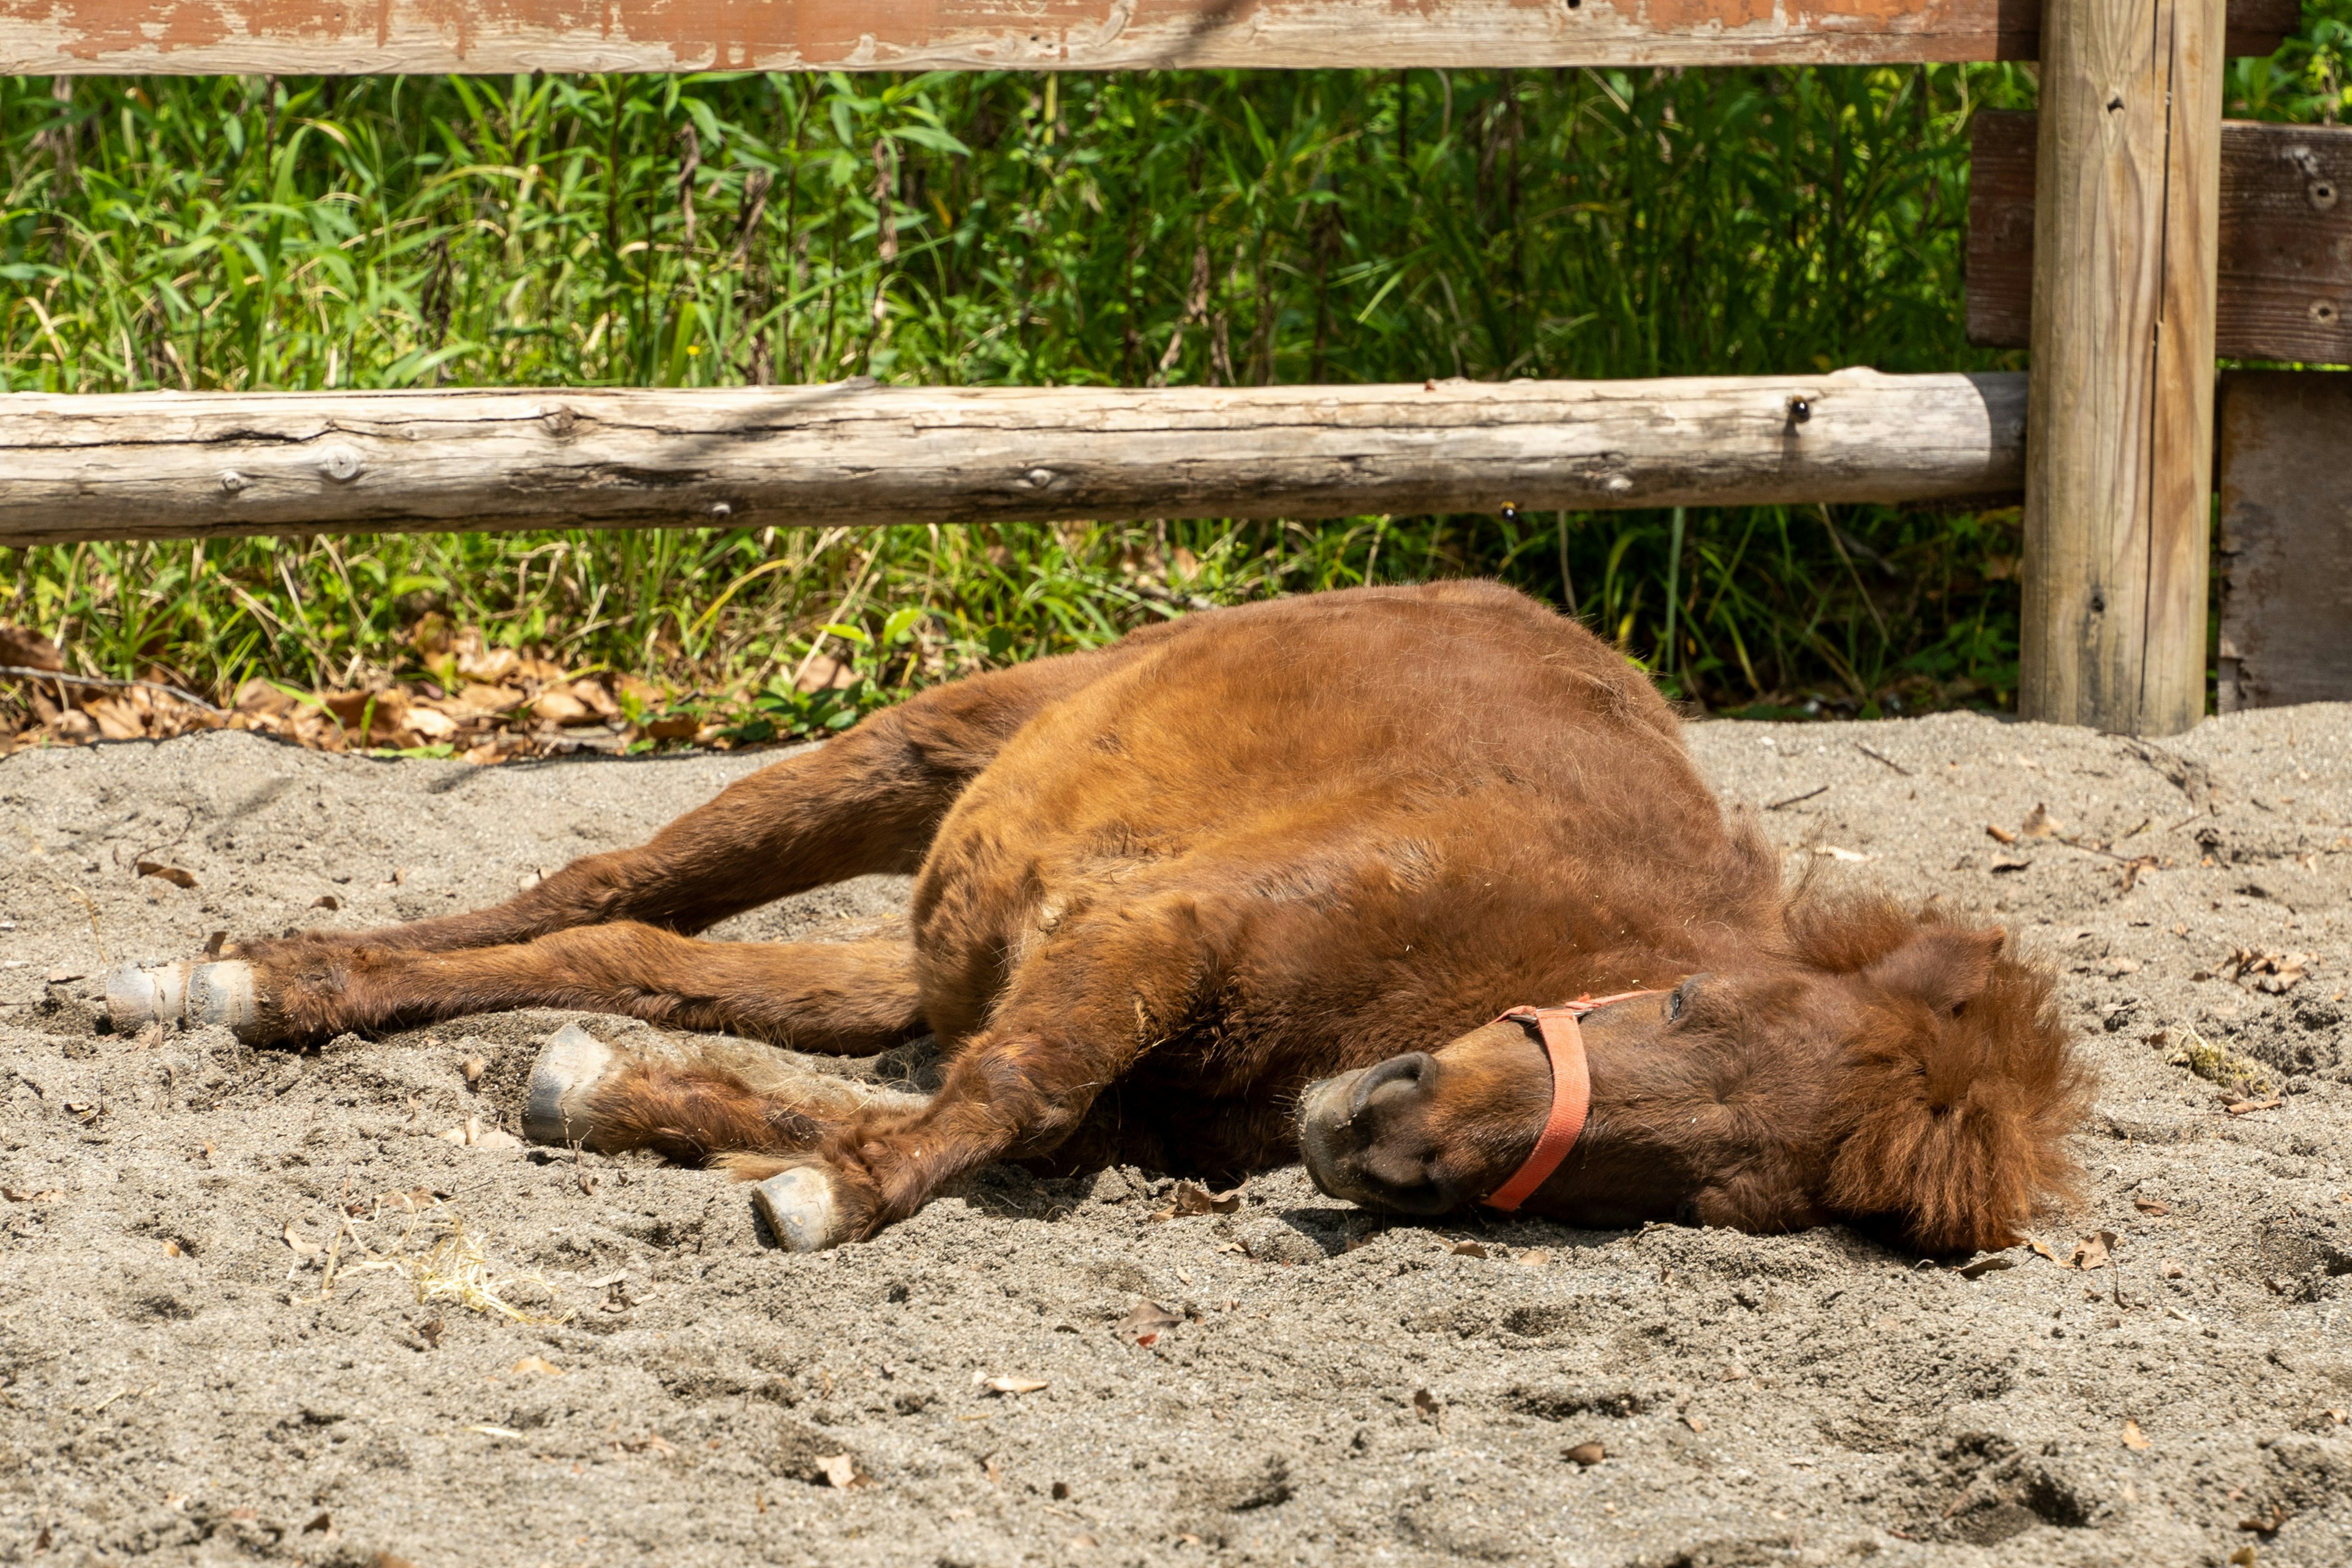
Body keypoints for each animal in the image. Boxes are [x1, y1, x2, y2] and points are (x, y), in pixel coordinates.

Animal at [110, 582, 2098, 1260]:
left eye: (1707, 1192)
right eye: (1681, 1008)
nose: (1382, 1135)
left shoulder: (1094, 1027)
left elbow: (923, 1099)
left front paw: (611, 1101)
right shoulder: (1159, 930)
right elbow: (1005, 1097)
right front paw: (827, 1202)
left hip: (915, 939)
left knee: (641, 956)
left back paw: (274, 987)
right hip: (924, 747)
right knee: (604, 887)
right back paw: (218, 973)